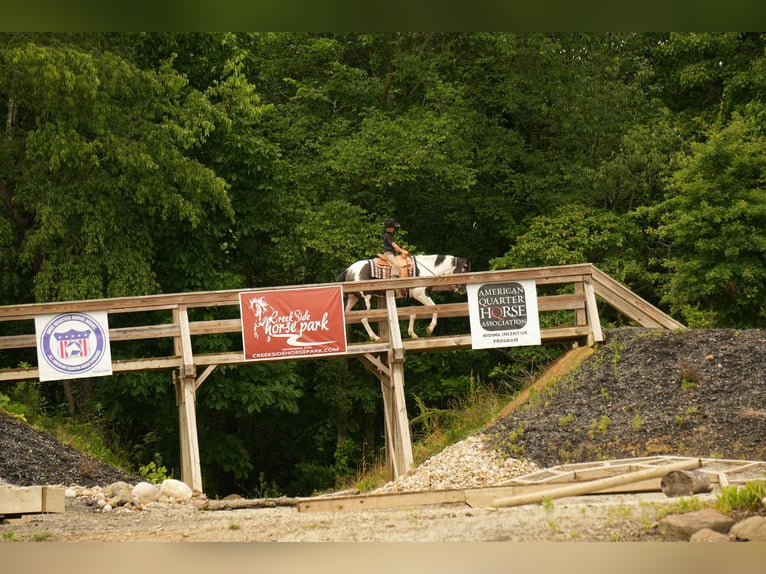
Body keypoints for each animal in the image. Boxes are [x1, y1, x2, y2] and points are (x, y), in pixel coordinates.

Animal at [336, 254, 471, 341]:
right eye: (464, 269)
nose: (463, 290)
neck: (424, 271)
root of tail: (349, 269)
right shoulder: (420, 294)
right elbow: (435, 307)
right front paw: (430, 328)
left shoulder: (414, 298)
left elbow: (413, 315)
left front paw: (412, 334)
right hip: (366, 299)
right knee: (363, 318)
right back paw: (375, 337)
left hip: (352, 299)